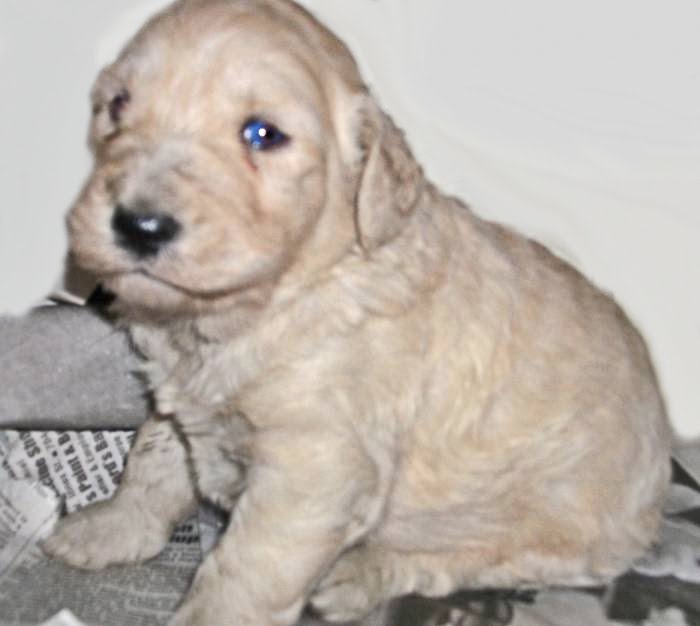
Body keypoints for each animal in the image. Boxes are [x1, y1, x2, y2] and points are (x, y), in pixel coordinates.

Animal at [41, 1, 668, 624]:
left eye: (262, 134)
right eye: (118, 105)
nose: (139, 225)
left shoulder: (315, 467)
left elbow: (245, 570)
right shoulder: (184, 393)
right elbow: (153, 460)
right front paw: (110, 528)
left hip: (562, 528)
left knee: (476, 558)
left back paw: (360, 573)